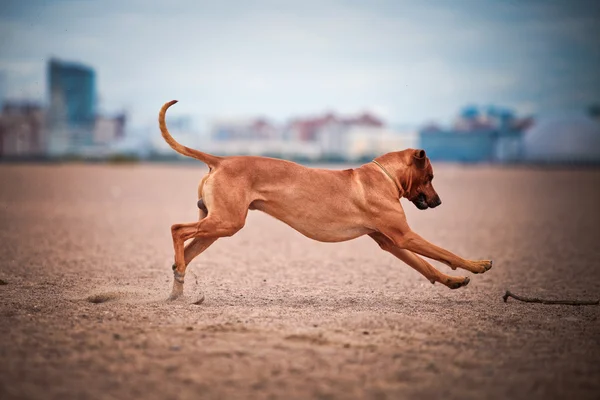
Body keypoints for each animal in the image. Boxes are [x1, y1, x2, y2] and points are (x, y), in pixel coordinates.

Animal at [159, 100, 492, 300]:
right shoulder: (405, 235)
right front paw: (476, 265)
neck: (383, 177)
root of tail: (221, 160)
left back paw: (178, 286)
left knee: (184, 251)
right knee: (176, 229)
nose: (439, 202)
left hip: (216, 226)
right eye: (431, 176)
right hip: (227, 222)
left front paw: (453, 282)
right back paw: (179, 273)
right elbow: (445, 252)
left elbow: (426, 267)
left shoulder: (390, 241)